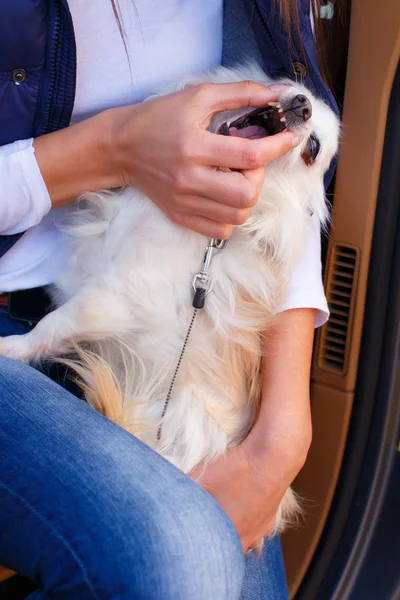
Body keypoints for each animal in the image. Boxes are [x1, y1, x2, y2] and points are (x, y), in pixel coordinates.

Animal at [0, 64, 340, 536]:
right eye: (290, 86)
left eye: (312, 150)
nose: (303, 106)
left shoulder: (113, 296)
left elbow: (53, 327)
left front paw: (11, 349)